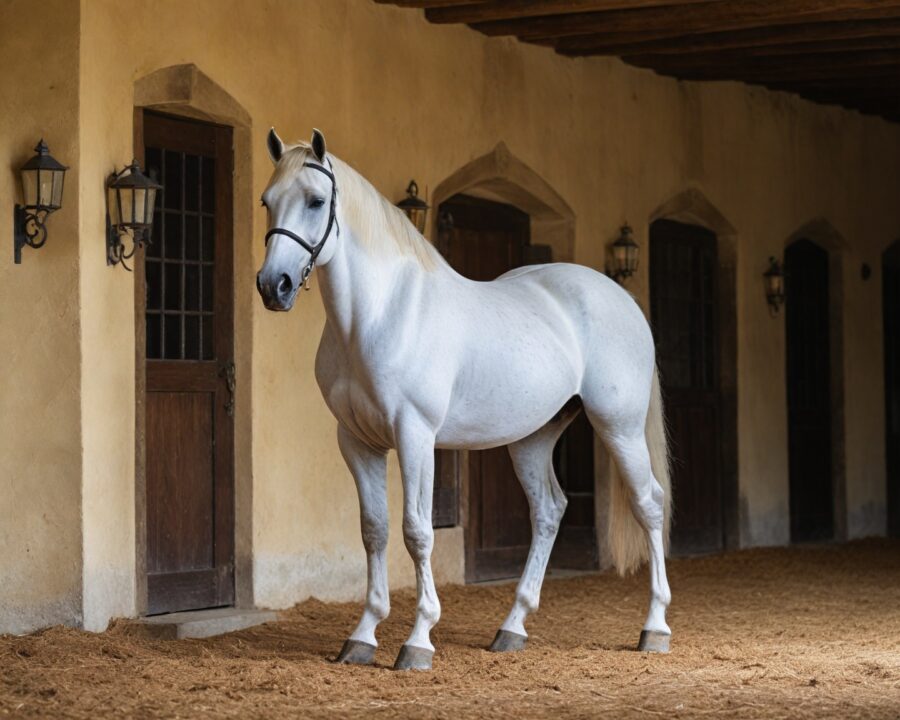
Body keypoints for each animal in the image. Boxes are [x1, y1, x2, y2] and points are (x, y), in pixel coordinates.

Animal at [256, 129, 673, 671]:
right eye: (267, 201)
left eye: (316, 201)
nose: (273, 286)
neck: (380, 314)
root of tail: (622, 299)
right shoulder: (356, 441)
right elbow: (374, 530)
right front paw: (363, 635)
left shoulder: (415, 435)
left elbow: (417, 532)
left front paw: (418, 641)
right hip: (533, 438)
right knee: (549, 510)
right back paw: (512, 627)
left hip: (618, 427)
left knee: (650, 505)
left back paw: (655, 627)